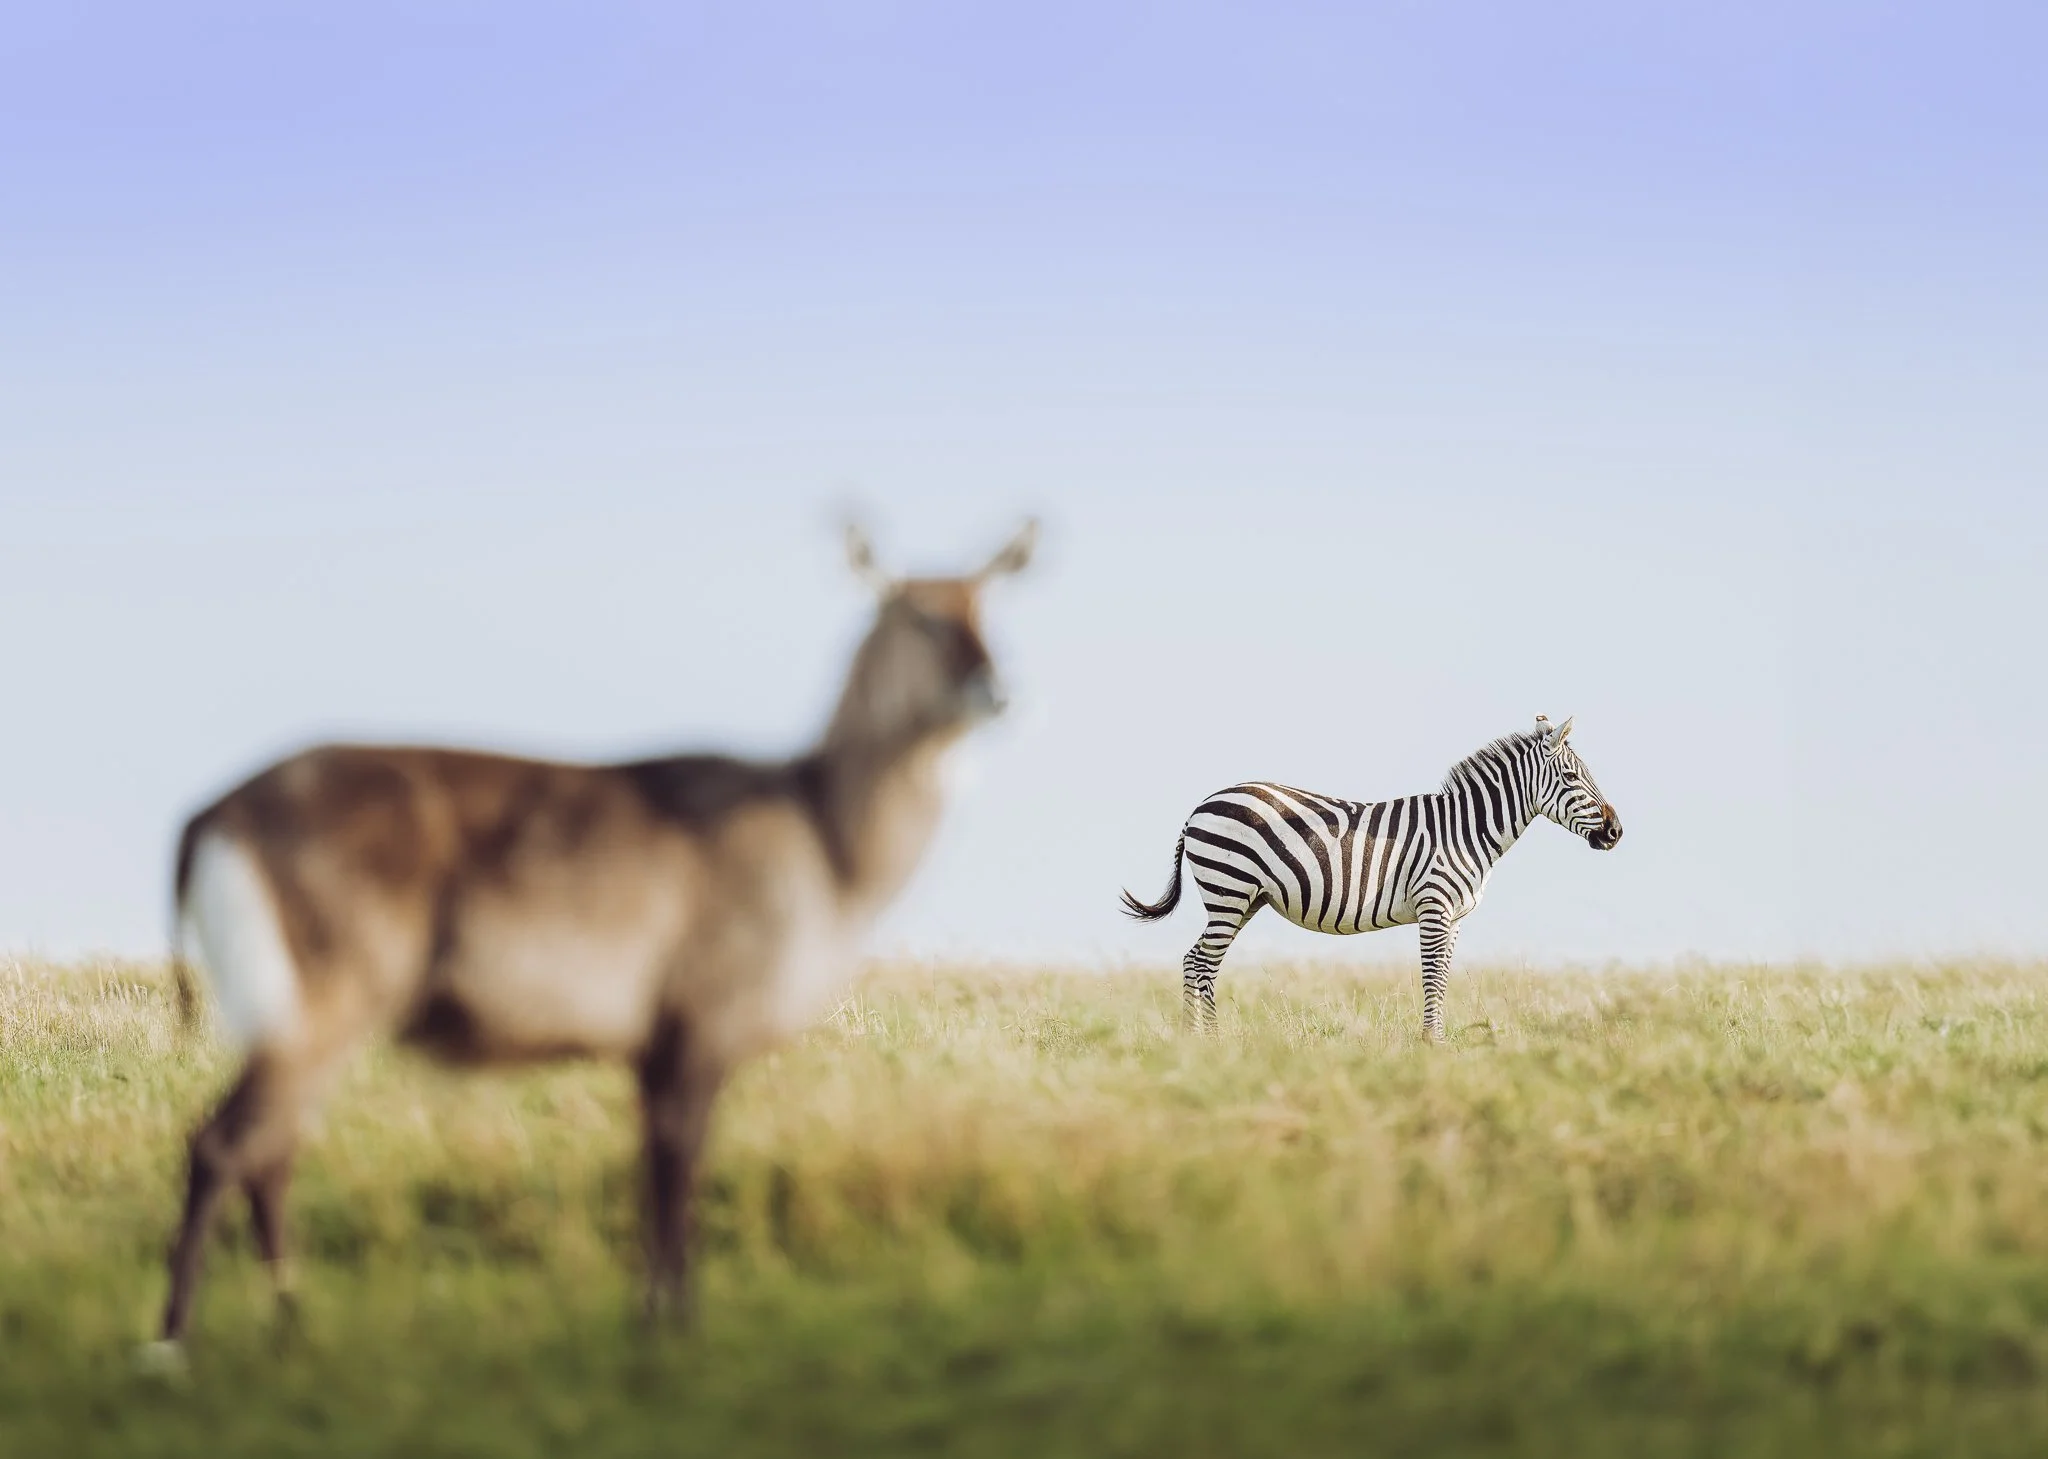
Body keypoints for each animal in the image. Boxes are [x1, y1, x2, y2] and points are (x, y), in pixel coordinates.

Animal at [1121, 715, 1623, 1040]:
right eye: (1573, 778)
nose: (1616, 832)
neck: (1465, 829)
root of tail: (1201, 805)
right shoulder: (1435, 906)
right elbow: (1433, 975)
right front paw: (1431, 1044)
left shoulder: (1456, 917)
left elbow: (1445, 975)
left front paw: (1438, 1042)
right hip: (1230, 889)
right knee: (1203, 963)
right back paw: (1208, 1045)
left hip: (1245, 899)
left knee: (1196, 961)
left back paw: (1199, 1043)